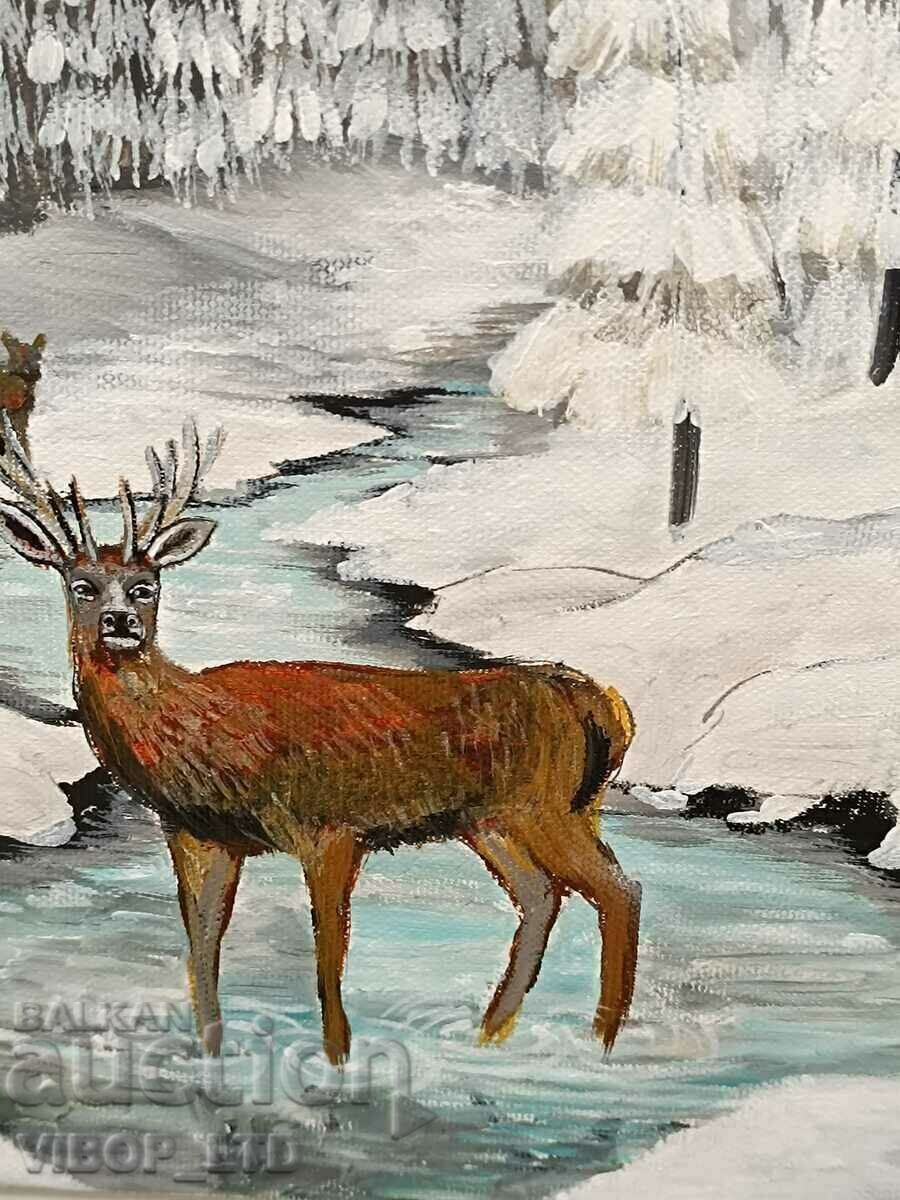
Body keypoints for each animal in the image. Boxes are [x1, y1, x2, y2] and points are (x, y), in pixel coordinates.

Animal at [0, 415, 642, 1066]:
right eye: (81, 584)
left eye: (145, 585)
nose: (121, 624)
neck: (202, 734)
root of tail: (597, 700)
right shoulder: (198, 833)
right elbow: (202, 945)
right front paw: (210, 1050)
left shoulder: (329, 825)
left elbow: (327, 953)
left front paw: (337, 1057)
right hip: (504, 819)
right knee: (543, 896)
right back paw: (491, 1034)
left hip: (541, 805)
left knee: (619, 890)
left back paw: (601, 1042)